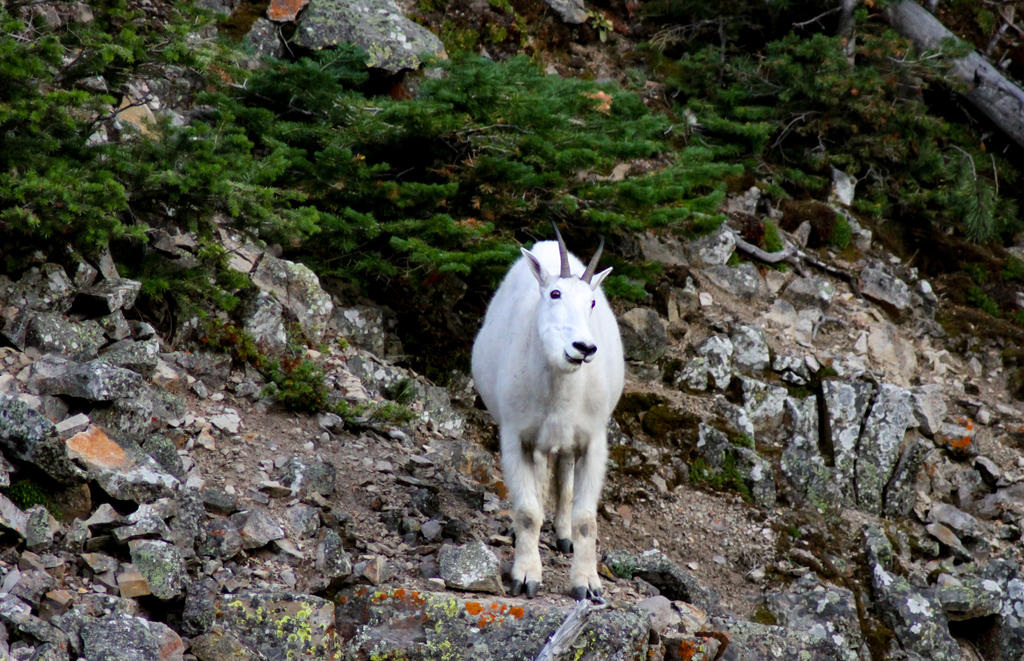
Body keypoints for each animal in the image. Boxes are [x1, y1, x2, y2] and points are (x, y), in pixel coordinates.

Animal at [471, 226, 622, 601]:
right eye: (555, 293)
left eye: (592, 302)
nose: (583, 348)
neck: (559, 392)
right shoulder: (515, 436)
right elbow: (527, 512)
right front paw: (526, 576)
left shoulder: (593, 441)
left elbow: (586, 519)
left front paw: (586, 584)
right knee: (540, 482)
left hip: (567, 442)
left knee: (563, 474)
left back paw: (563, 535)